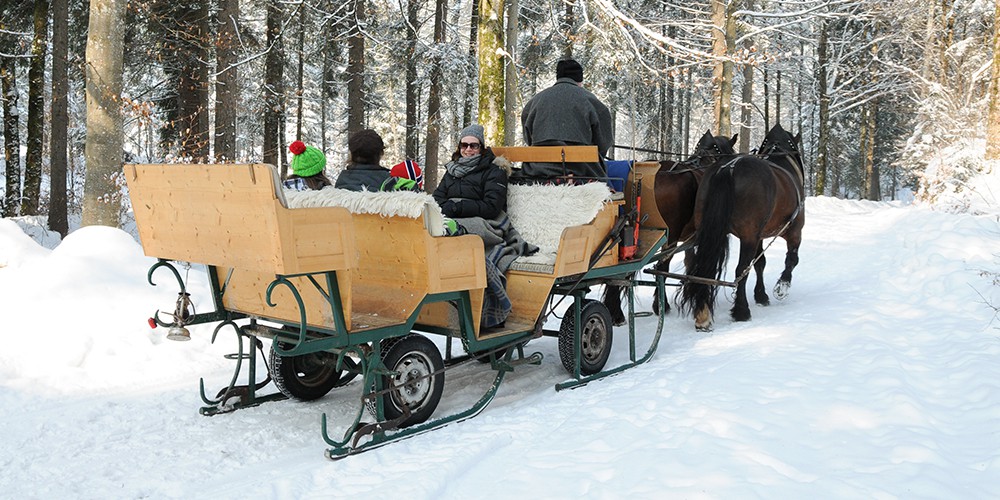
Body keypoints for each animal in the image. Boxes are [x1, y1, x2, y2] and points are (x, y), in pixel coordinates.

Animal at [680, 123, 804, 330]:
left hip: (706, 229)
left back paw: (702, 313)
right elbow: (792, 260)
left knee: (699, 266)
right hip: (748, 237)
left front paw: (761, 295)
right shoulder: (794, 230)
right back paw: (741, 310)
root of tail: (728, 168)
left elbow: (760, 263)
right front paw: (782, 286)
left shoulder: (759, 235)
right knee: (741, 270)